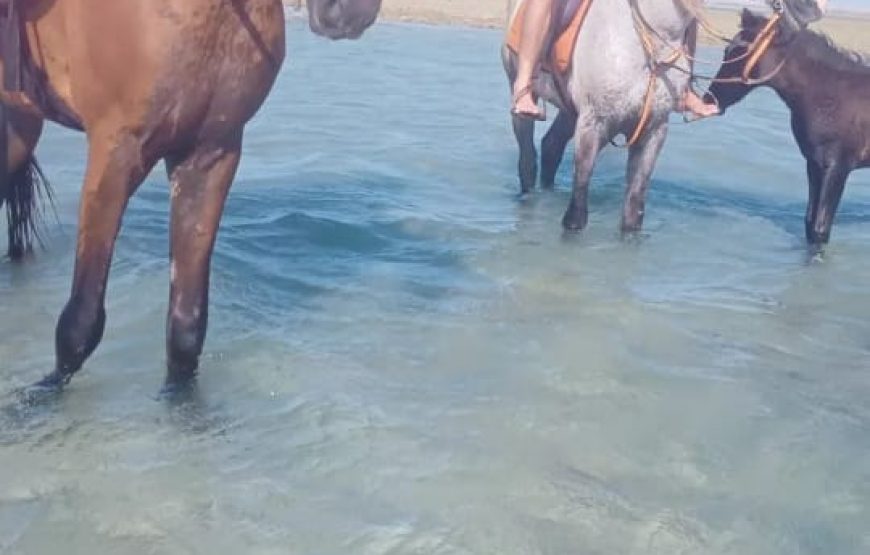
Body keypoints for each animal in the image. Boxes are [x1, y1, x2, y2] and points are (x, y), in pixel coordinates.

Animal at [0, 0, 382, 395]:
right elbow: (81, 319)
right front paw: (38, 397)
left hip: (19, 130)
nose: (350, 12)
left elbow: (186, 326)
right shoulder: (115, 154)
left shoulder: (209, 156)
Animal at [503, 0, 703, 233]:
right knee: (527, 160)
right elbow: (576, 214)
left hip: (571, 112)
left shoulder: (654, 130)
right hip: (521, 93)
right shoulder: (593, 123)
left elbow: (632, 213)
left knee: (551, 146)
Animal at [707, 9, 870, 247]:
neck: (828, 95)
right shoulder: (814, 164)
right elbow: (809, 223)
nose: (710, 98)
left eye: (740, 51)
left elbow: (820, 229)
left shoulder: (837, 167)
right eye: (727, 50)